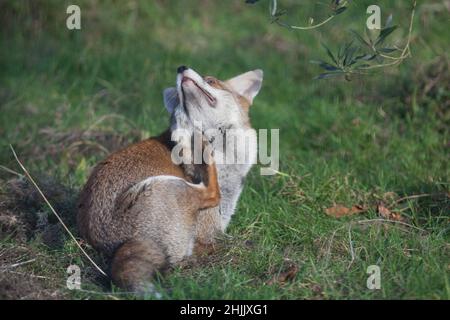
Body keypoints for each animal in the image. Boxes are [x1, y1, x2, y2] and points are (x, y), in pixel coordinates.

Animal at [75, 65, 262, 296]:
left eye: (211, 81)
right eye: (179, 95)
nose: (181, 68)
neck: (226, 158)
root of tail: (107, 247)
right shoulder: (209, 233)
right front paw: (183, 125)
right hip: (169, 184)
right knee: (211, 193)